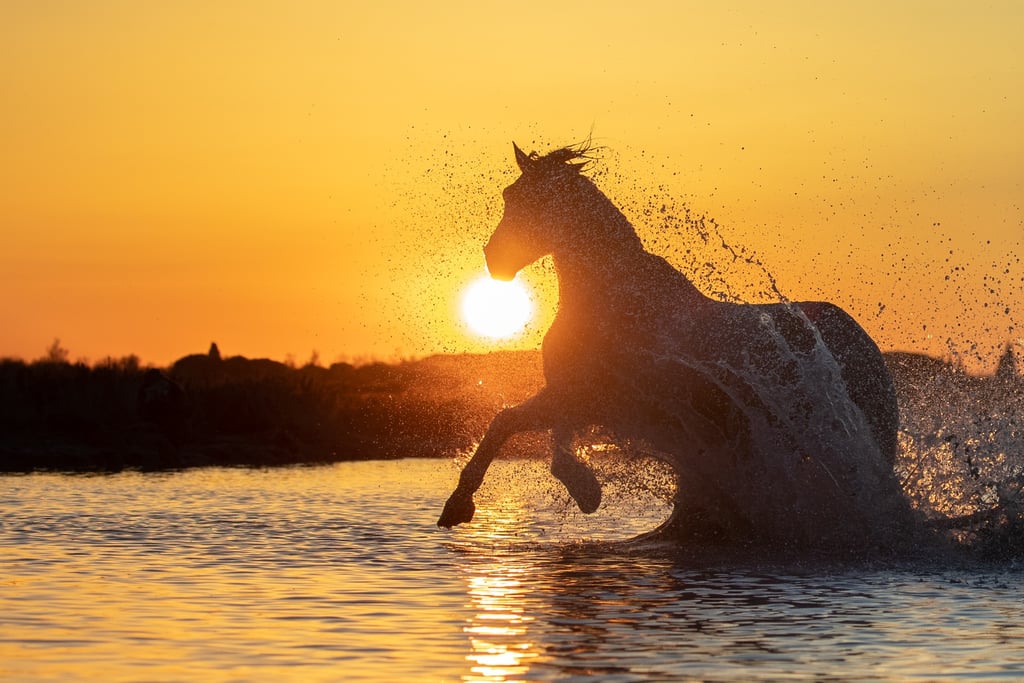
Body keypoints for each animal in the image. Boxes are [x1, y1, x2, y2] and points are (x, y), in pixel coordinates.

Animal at [438, 143, 909, 549]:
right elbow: (549, 441)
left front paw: (458, 506)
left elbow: (506, 422)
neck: (613, 299)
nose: (494, 260)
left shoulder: (593, 397)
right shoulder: (575, 396)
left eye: (532, 201)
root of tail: (863, 342)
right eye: (509, 195)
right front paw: (586, 490)